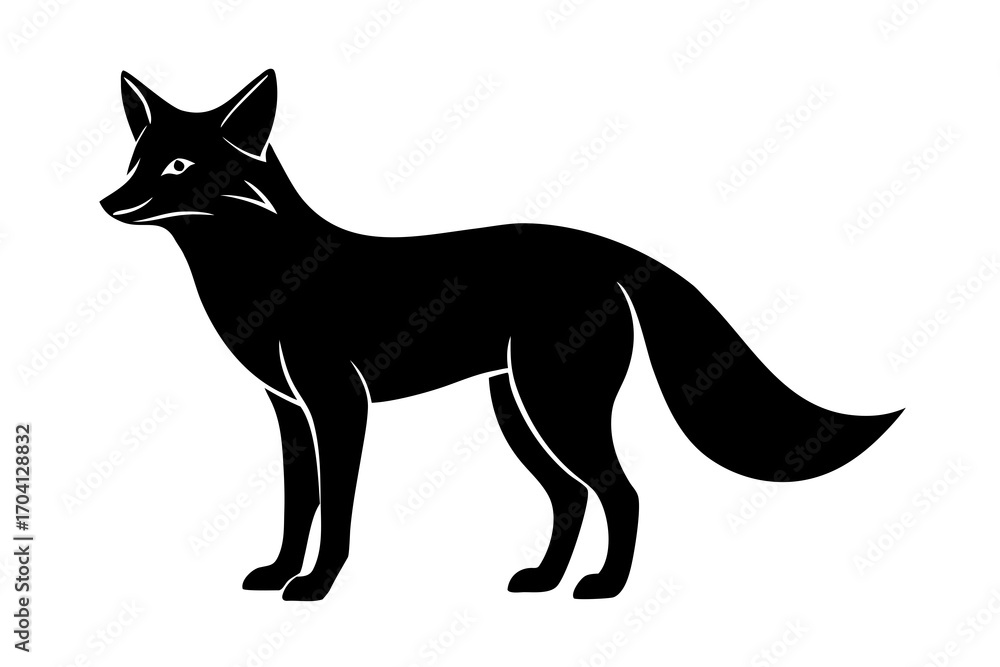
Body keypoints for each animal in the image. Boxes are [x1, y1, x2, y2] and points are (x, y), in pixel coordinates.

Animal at [101, 70, 903, 601]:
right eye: (137, 158)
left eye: (180, 165)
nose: (108, 201)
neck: (269, 272)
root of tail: (606, 250)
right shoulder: (289, 410)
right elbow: (301, 504)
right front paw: (275, 574)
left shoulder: (339, 406)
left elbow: (337, 509)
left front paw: (317, 584)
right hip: (517, 408)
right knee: (572, 497)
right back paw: (544, 578)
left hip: (554, 407)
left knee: (623, 493)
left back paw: (603, 587)